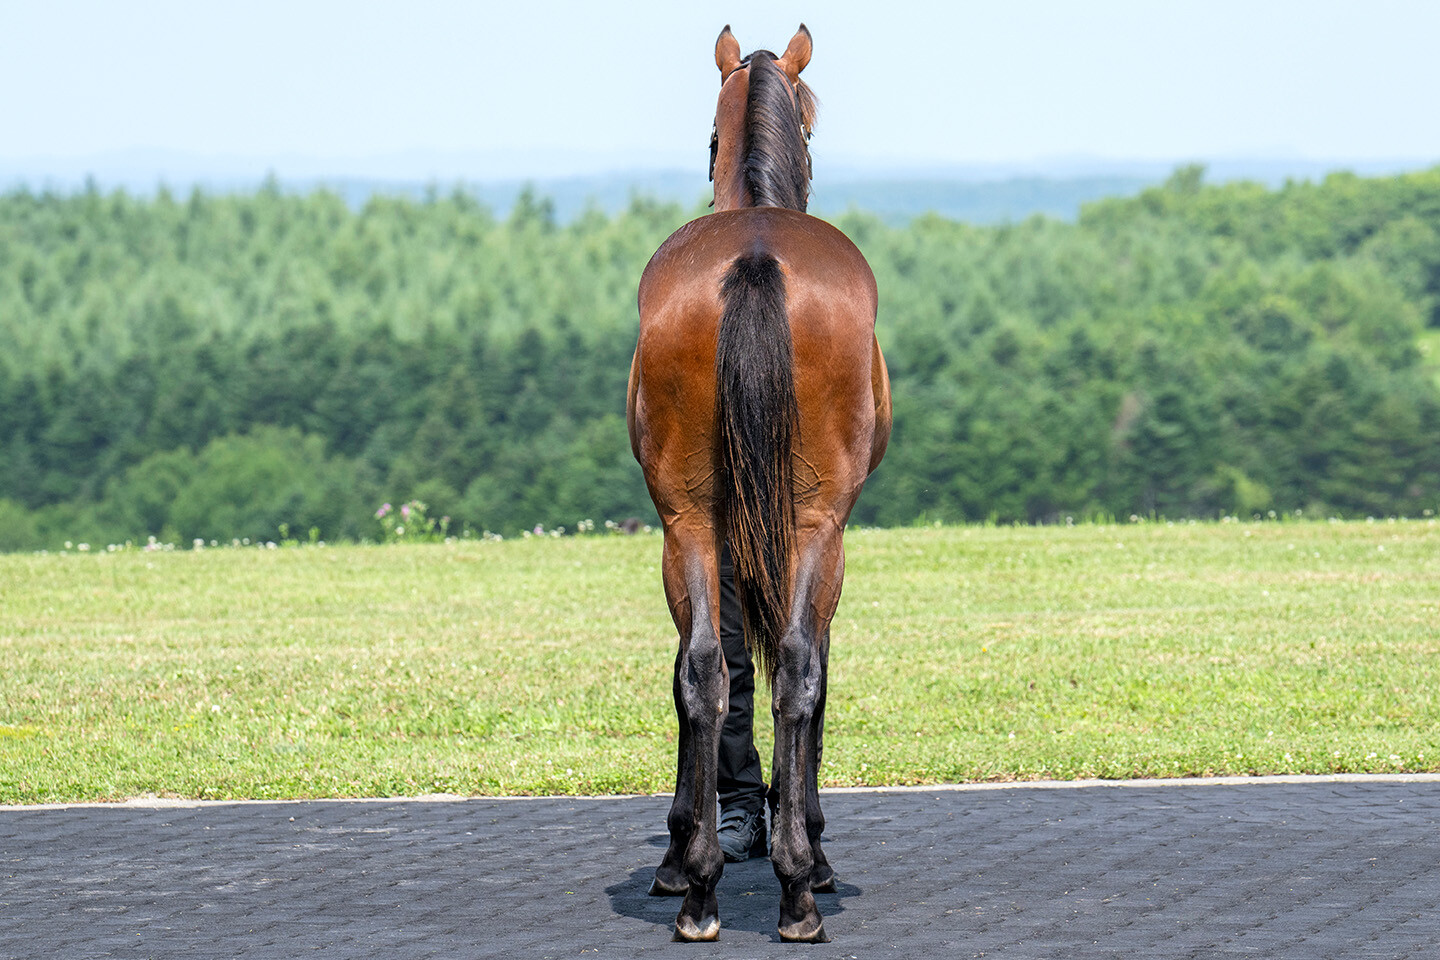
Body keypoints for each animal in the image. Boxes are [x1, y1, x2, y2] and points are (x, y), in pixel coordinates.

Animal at [627, 24, 887, 944]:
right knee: (798, 665)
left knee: (706, 670)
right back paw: (796, 883)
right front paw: (809, 841)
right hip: (813, 525)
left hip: (694, 523)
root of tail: (756, 253)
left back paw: (700, 884)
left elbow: (710, 669)